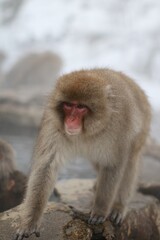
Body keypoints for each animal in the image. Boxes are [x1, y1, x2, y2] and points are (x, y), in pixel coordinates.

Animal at [13, 68, 151, 239]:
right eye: (68, 105)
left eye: (80, 107)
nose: (71, 120)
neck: (86, 131)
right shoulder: (53, 123)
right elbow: (46, 166)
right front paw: (30, 223)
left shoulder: (119, 126)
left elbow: (113, 165)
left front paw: (100, 210)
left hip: (142, 128)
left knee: (130, 162)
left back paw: (119, 206)